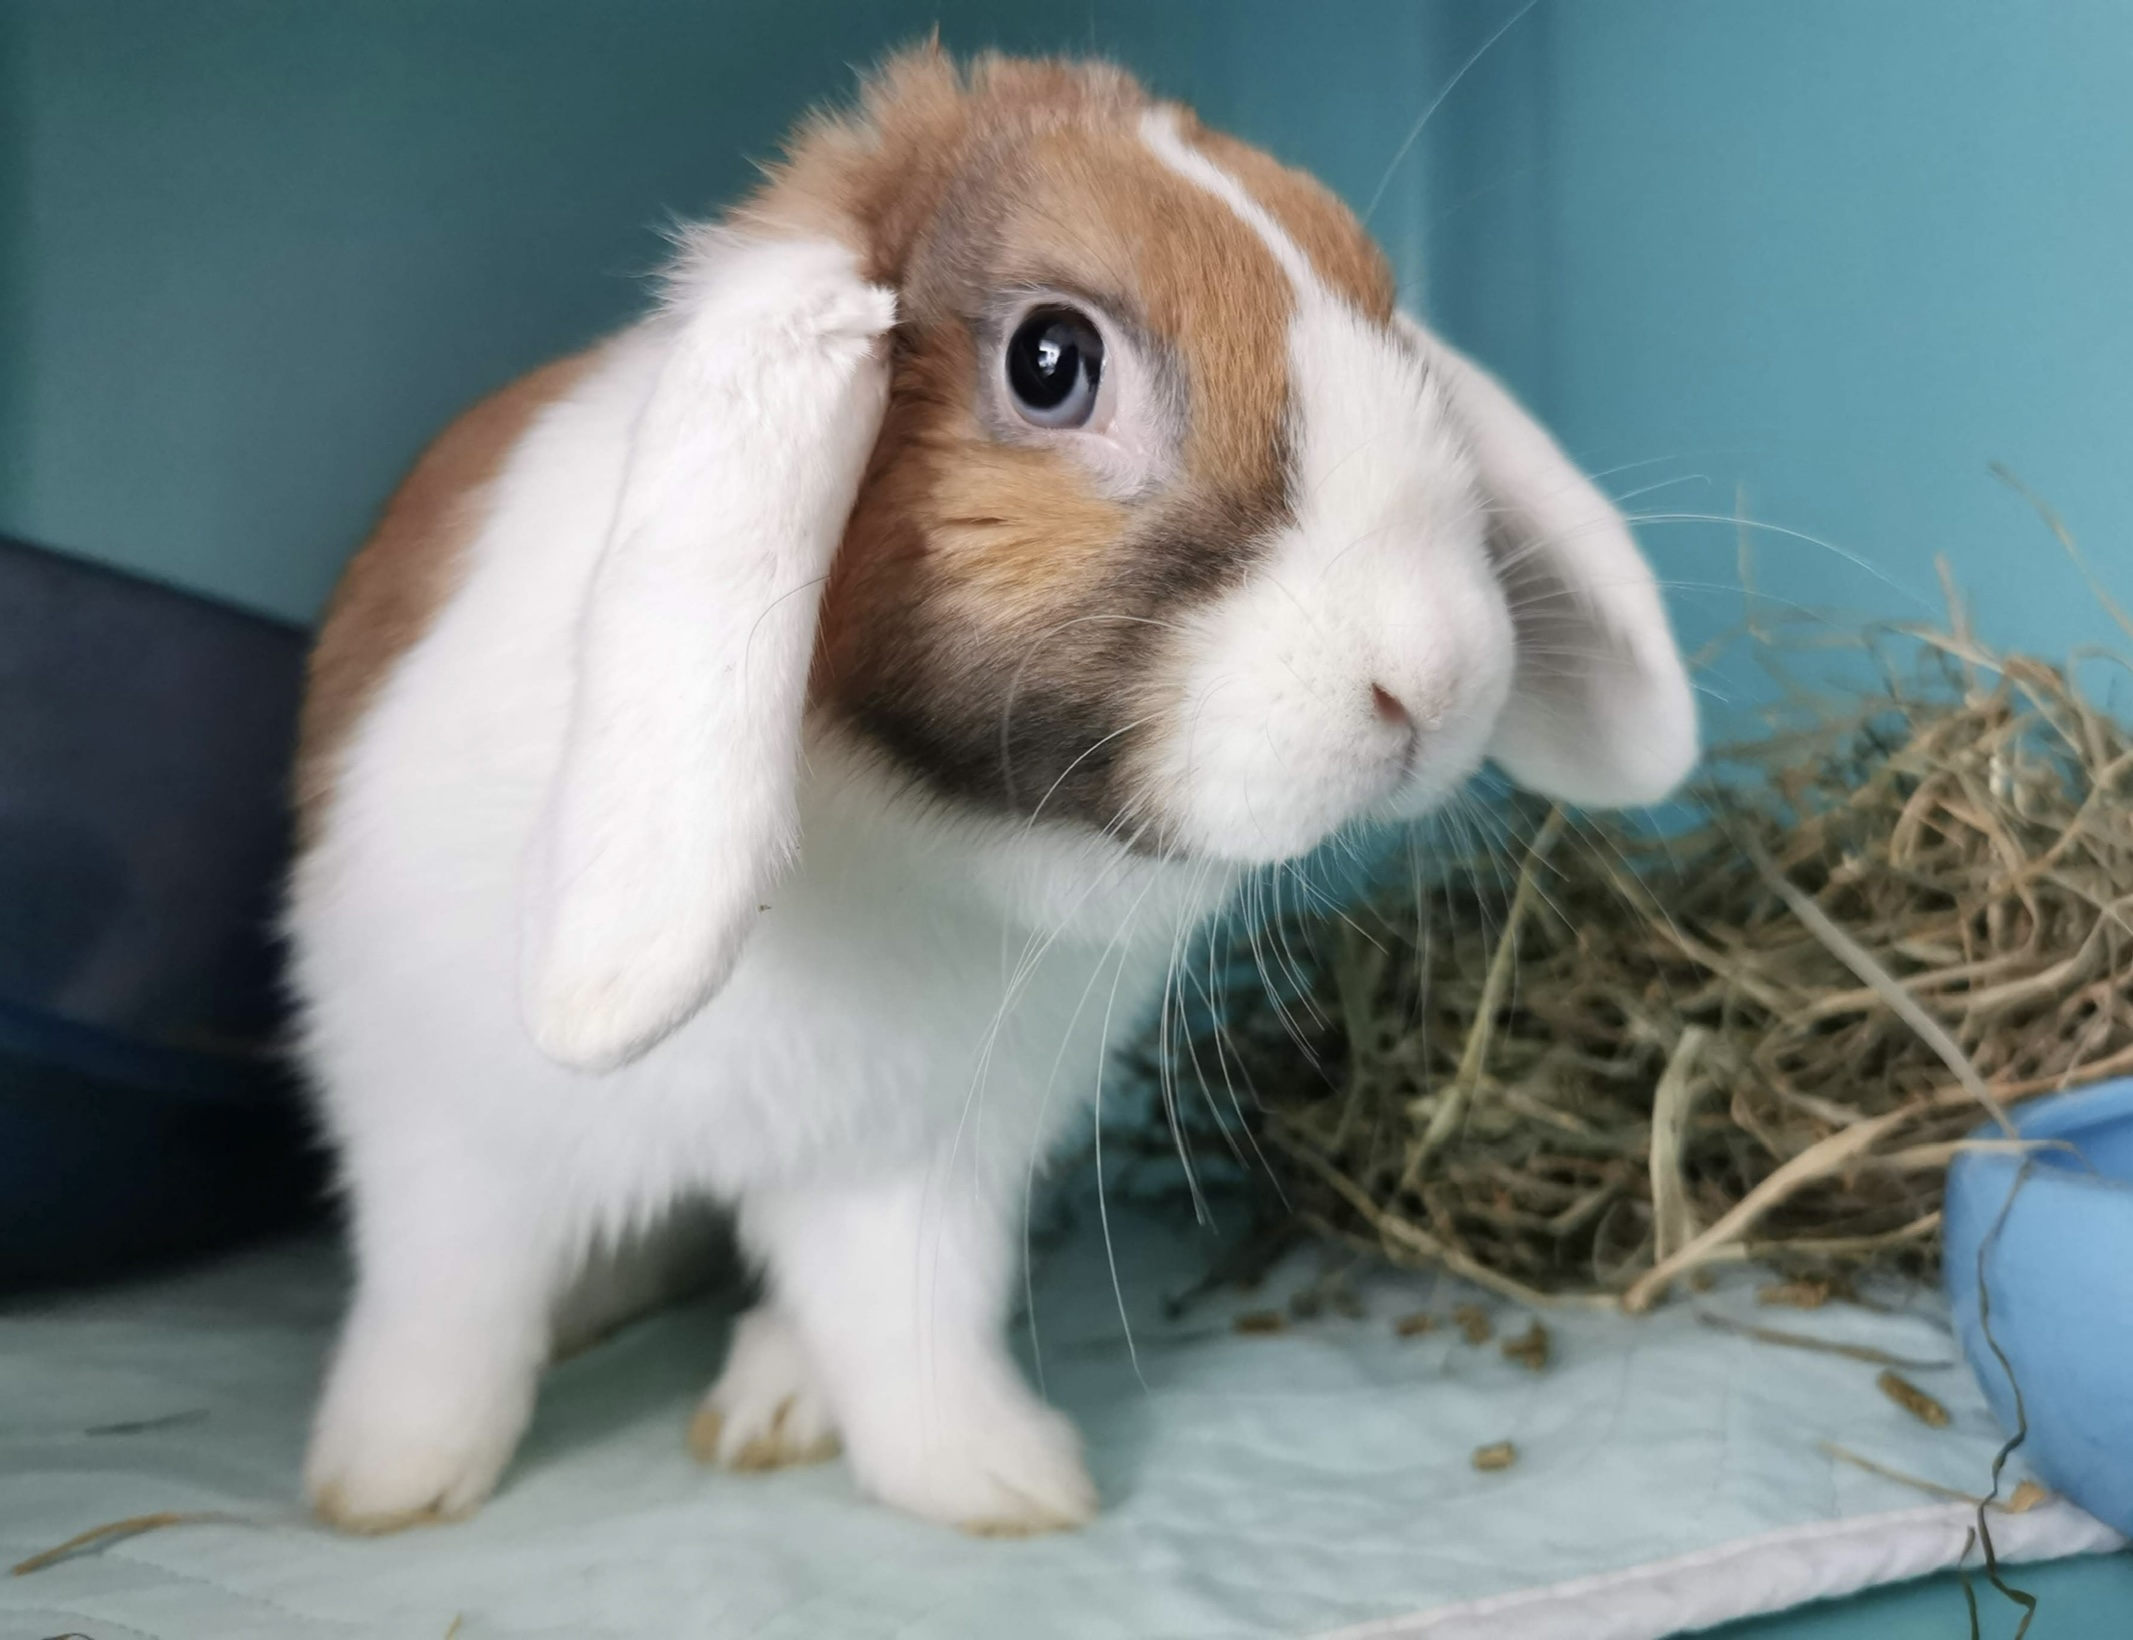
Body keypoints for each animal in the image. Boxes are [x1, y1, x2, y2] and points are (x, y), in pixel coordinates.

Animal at [287, 47, 1697, 1539]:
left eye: (1384, 310)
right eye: (1051, 361)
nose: (1435, 677)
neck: (898, 819)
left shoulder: (913, 1173)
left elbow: (906, 1334)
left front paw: (1001, 1482)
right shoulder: (441, 1130)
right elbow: (445, 1311)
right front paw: (384, 1483)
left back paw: (775, 1402)